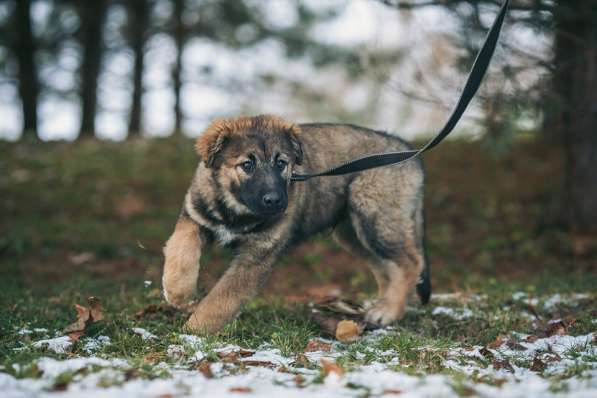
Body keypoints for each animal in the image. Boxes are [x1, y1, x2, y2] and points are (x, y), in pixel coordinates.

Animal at [163, 114, 428, 332]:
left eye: (281, 163)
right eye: (247, 165)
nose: (275, 200)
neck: (235, 209)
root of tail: (408, 151)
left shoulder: (257, 256)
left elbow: (222, 298)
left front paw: (195, 331)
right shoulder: (194, 218)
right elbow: (181, 250)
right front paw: (178, 293)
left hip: (377, 218)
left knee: (411, 263)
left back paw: (389, 310)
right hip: (354, 233)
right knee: (385, 267)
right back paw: (380, 305)